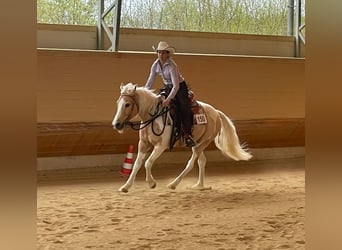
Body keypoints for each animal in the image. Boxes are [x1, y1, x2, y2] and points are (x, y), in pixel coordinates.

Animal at [112, 83, 251, 192]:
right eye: (118, 103)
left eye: (127, 104)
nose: (116, 124)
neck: (154, 117)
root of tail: (216, 112)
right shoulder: (143, 144)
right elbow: (137, 164)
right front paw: (125, 187)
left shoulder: (160, 146)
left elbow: (148, 163)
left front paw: (151, 183)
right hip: (197, 143)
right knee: (202, 161)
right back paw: (199, 186)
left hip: (203, 143)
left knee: (191, 163)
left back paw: (173, 184)